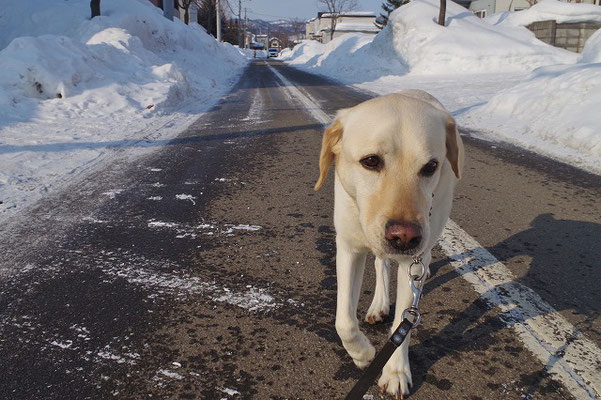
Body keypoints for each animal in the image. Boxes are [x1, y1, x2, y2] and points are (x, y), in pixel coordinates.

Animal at [314, 90, 464, 396]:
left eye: (431, 166)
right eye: (371, 161)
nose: (404, 237)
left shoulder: (411, 264)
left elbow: (402, 325)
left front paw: (395, 371)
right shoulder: (348, 248)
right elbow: (343, 321)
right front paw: (363, 354)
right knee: (381, 262)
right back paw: (378, 304)